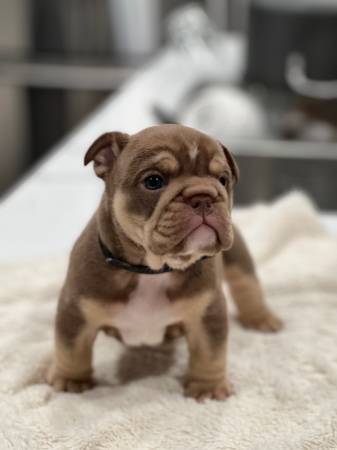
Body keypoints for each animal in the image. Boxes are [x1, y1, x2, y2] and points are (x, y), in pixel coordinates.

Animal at [47, 124, 280, 400]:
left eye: (223, 180)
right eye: (153, 181)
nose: (204, 196)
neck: (151, 270)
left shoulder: (207, 311)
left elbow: (210, 353)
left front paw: (208, 388)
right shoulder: (76, 308)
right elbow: (71, 348)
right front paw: (70, 380)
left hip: (238, 256)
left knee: (247, 284)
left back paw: (261, 318)